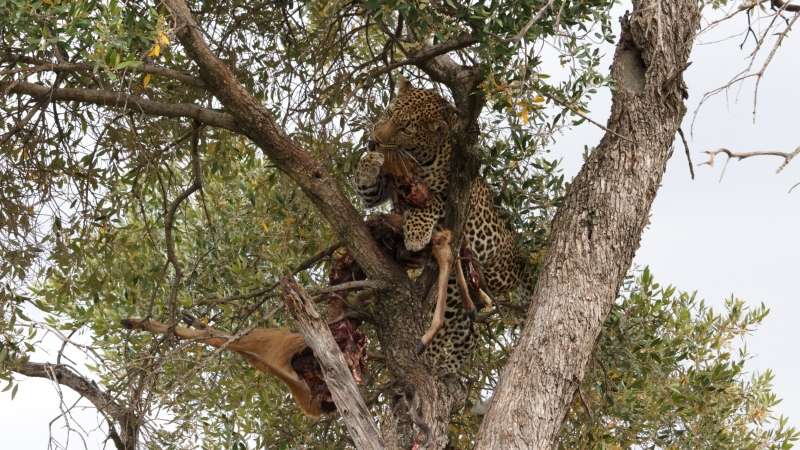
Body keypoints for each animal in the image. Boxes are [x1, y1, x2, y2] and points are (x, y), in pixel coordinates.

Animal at [353, 77, 533, 373]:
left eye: (406, 128)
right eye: (389, 113)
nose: (373, 141)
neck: (420, 157)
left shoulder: (459, 194)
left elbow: (431, 201)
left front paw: (416, 232)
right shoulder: (381, 188)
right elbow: (367, 187)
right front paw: (369, 161)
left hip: (493, 266)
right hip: (455, 289)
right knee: (463, 325)